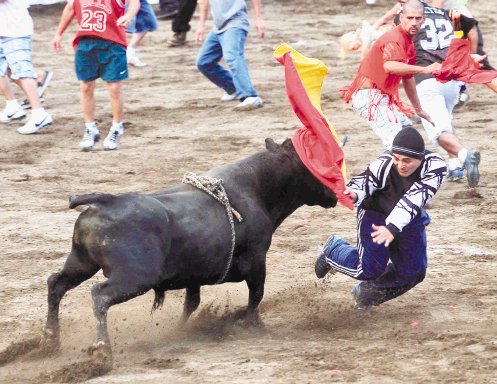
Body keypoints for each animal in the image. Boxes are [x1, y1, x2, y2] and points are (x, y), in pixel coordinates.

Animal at [44, 137, 338, 354]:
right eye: (313, 164)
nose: (335, 193)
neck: (255, 189)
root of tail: (108, 201)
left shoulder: (194, 275)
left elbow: (192, 304)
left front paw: (180, 331)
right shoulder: (257, 261)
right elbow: (256, 295)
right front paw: (252, 324)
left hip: (81, 263)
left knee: (56, 284)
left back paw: (50, 339)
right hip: (134, 278)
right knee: (100, 296)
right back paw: (101, 348)